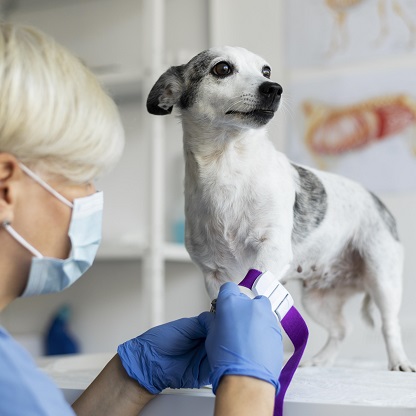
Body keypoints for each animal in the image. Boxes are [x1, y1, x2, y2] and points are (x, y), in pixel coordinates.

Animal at [146, 45, 412, 370]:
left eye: (266, 70)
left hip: (382, 279)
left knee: (389, 325)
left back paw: (398, 361)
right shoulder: (213, 274)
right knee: (341, 329)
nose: (274, 88)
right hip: (317, 300)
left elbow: (247, 293)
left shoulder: (271, 251)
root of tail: (376, 200)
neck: (227, 168)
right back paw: (320, 360)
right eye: (222, 68)